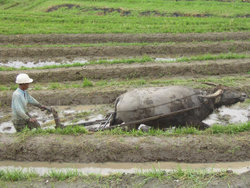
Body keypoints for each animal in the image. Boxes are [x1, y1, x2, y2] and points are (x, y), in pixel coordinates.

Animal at [112, 86, 248, 129]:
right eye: (228, 90)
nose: (244, 95)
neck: (200, 100)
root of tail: (121, 97)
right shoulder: (193, 122)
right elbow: (208, 127)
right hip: (131, 125)